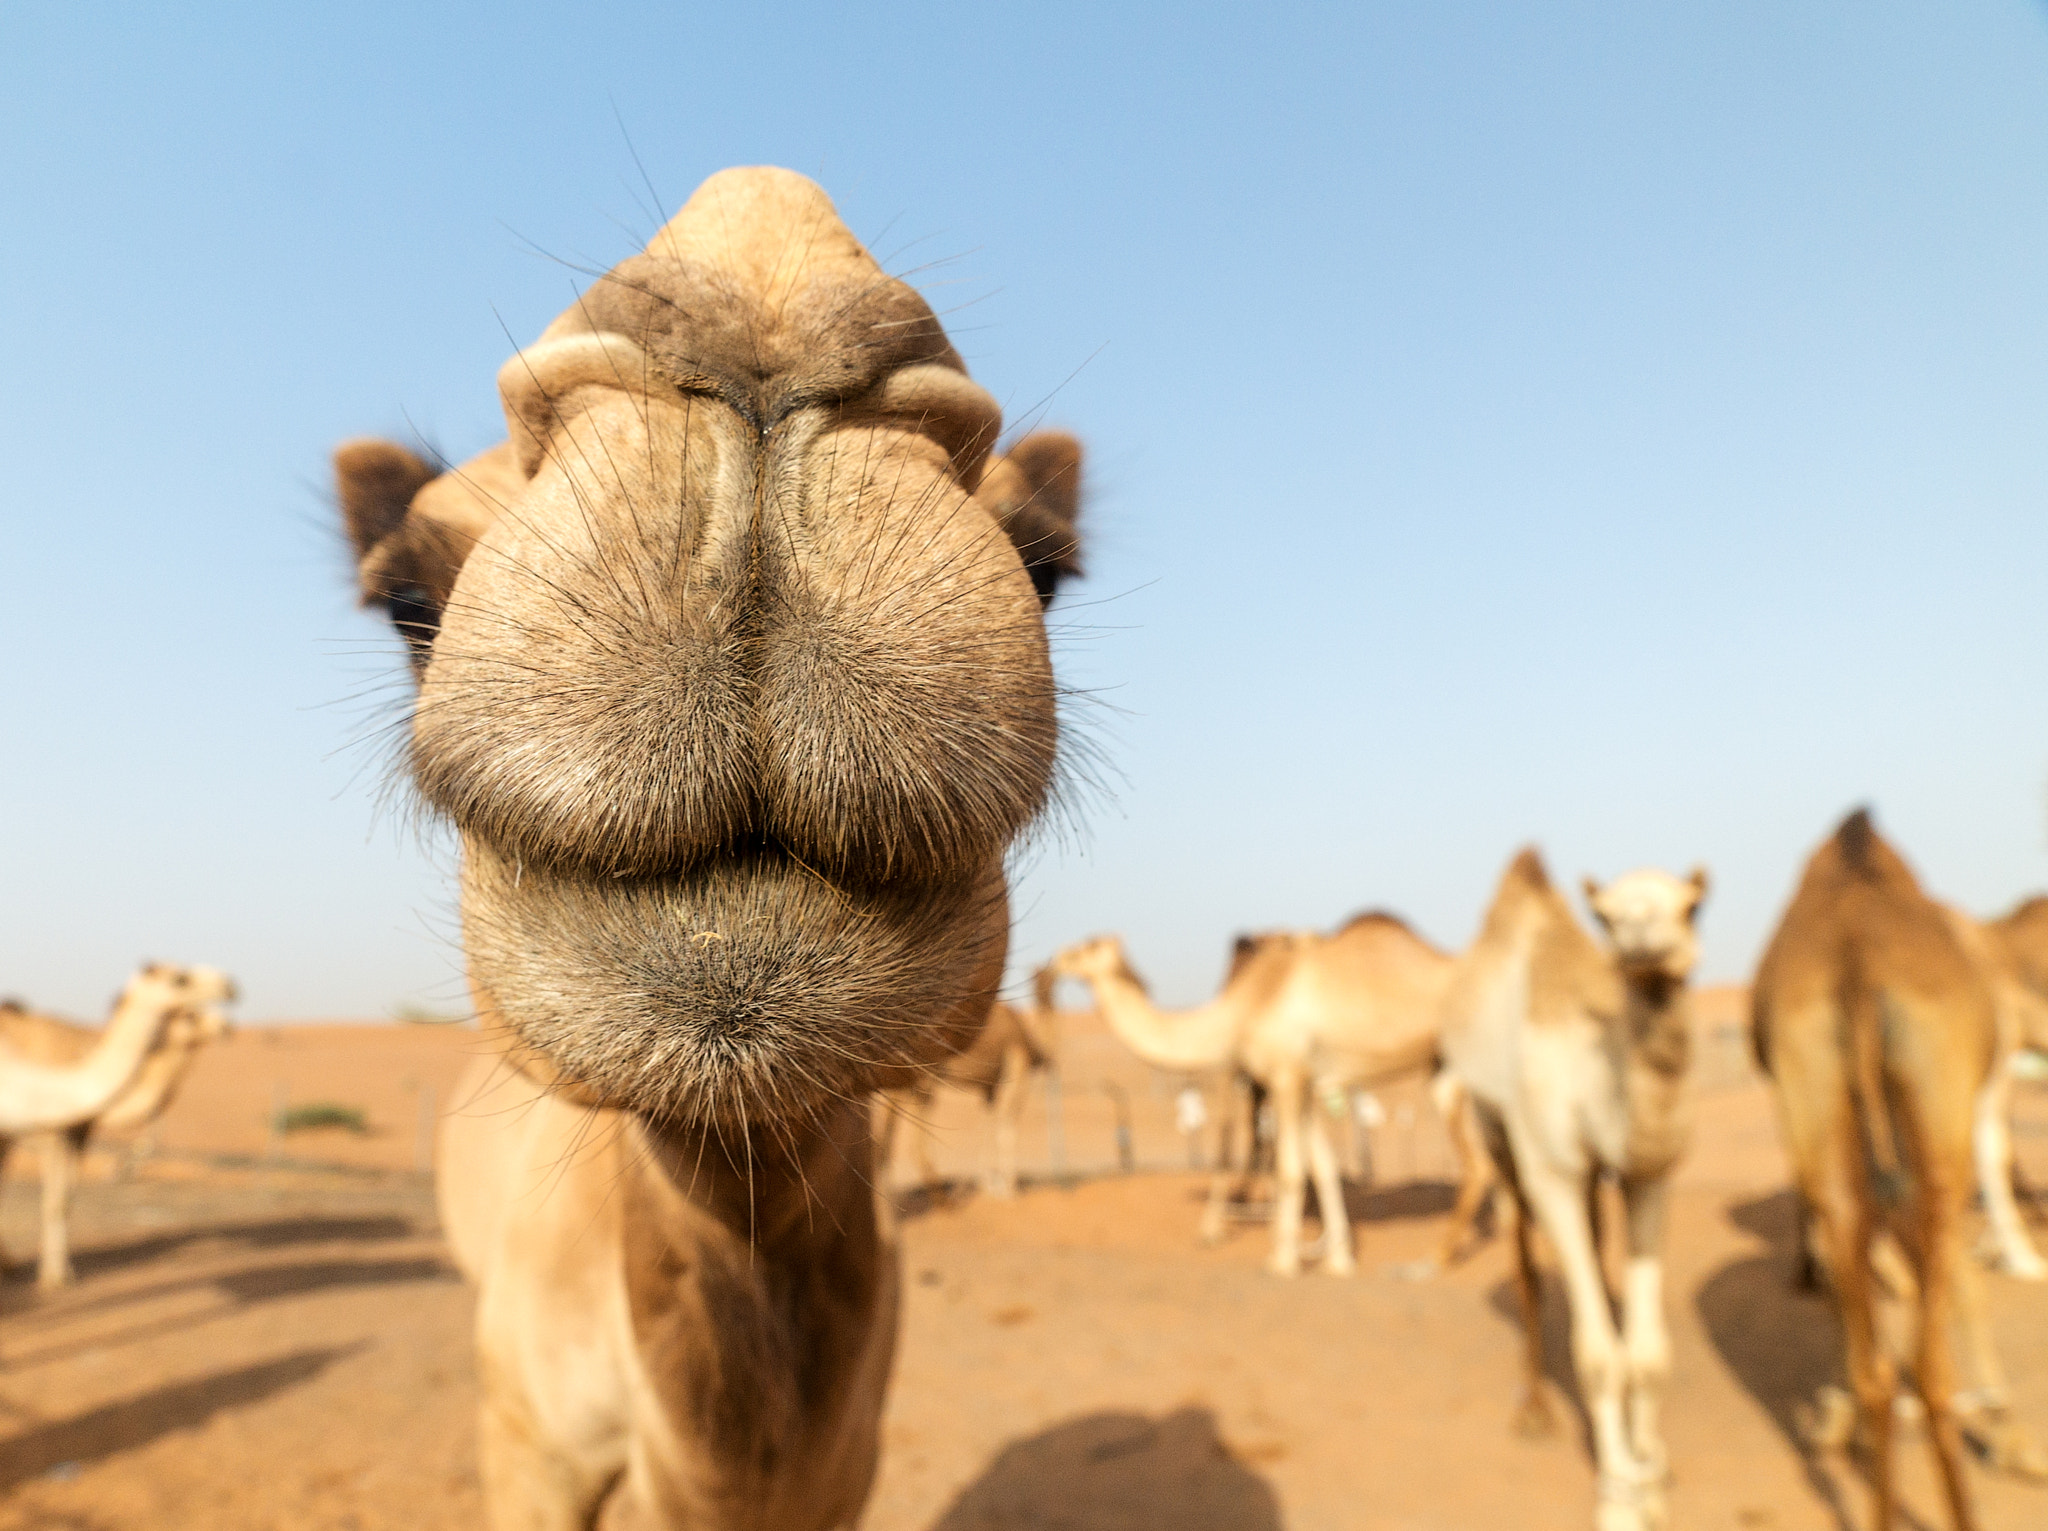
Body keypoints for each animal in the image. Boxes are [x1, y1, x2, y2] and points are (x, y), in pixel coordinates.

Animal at [0, 974, 235, 1285]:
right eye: (190, 1015)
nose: (227, 1026)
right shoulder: (55, 1135)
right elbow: (55, 1202)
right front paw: (55, 1277)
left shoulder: (80, 1134)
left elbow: (68, 1199)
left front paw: (59, 1271)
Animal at [1040, 916, 1474, 1277]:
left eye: (1083, 948)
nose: (1050, 964)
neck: (1244, 1006)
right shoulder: (1304, 1081)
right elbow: (1324, 1168)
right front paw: (1338, 1261)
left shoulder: (1284, 1076)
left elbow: (1289, 1169)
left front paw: (1282, 1261)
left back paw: (1436, 1260)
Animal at [1441, 847, 1712, 1531]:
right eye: (1607, 916)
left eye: (1694, 905)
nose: (1642, 938)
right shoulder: (1552, 1168)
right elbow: (1597, 1357)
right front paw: (1618, 1493)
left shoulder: (1647, 1175)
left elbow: (1647, 1353)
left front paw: (1652, 1474)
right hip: (1494, 1127)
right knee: (1523, 1256)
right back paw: (1535, 1409)